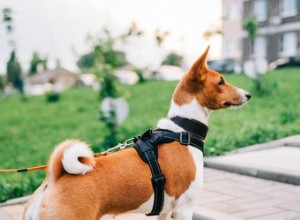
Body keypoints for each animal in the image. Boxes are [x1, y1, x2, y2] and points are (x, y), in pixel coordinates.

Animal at [24, 46, 251, 220]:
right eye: (221, 82)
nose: (248, 94)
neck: (183, 131)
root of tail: (54, 179)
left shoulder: (164, 212)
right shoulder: (184, 209)